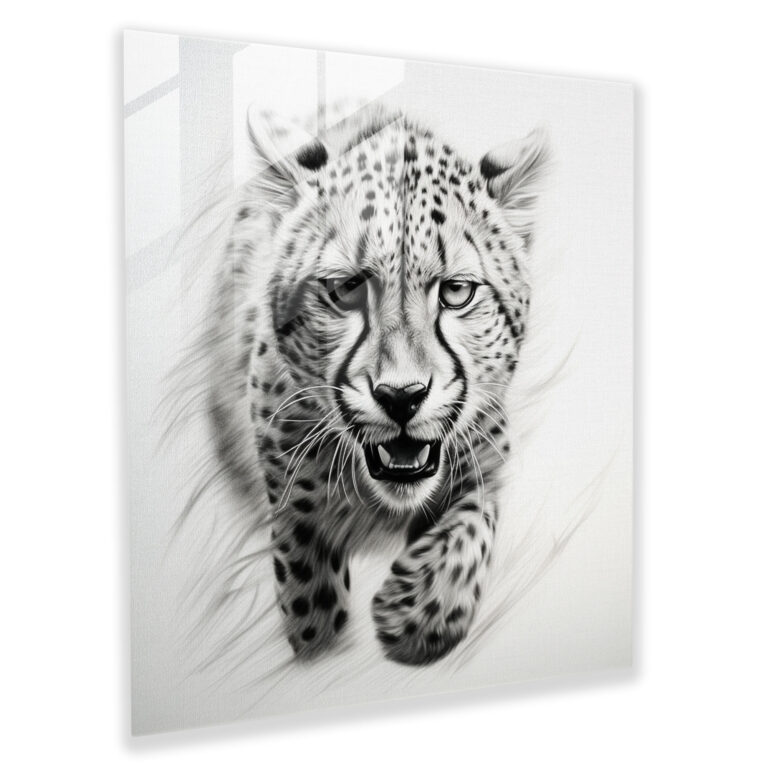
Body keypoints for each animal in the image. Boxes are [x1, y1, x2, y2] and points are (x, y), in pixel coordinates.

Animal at [204, 103, 549, 666]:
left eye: (456, 292)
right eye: (345, 288)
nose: (401, 397)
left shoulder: (485, 465)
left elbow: (471, 526)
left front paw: (419, 618)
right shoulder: (294, 504)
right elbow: (311, 599)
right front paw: (327, 648)